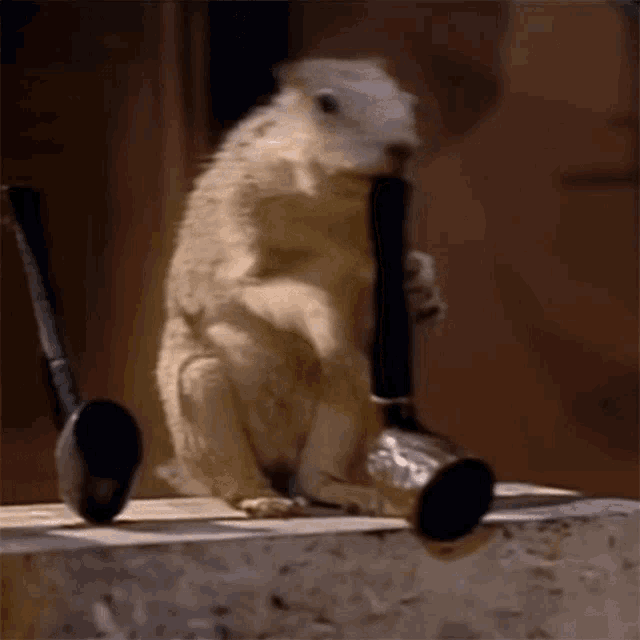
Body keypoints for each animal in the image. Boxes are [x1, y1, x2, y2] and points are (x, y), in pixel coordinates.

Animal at [155, 57, 446, 518]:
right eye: (326, 104)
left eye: (411, 102)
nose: (401, 148)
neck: (325, 207)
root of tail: (278, 461)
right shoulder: (238, 231)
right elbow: (265, 290)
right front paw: (324, 321)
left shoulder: (366, 263)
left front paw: (423, 288)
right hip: (200, 395)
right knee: (231, 477)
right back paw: (260, 498)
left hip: (346, 403)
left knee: (312, 473)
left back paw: (349, 492)